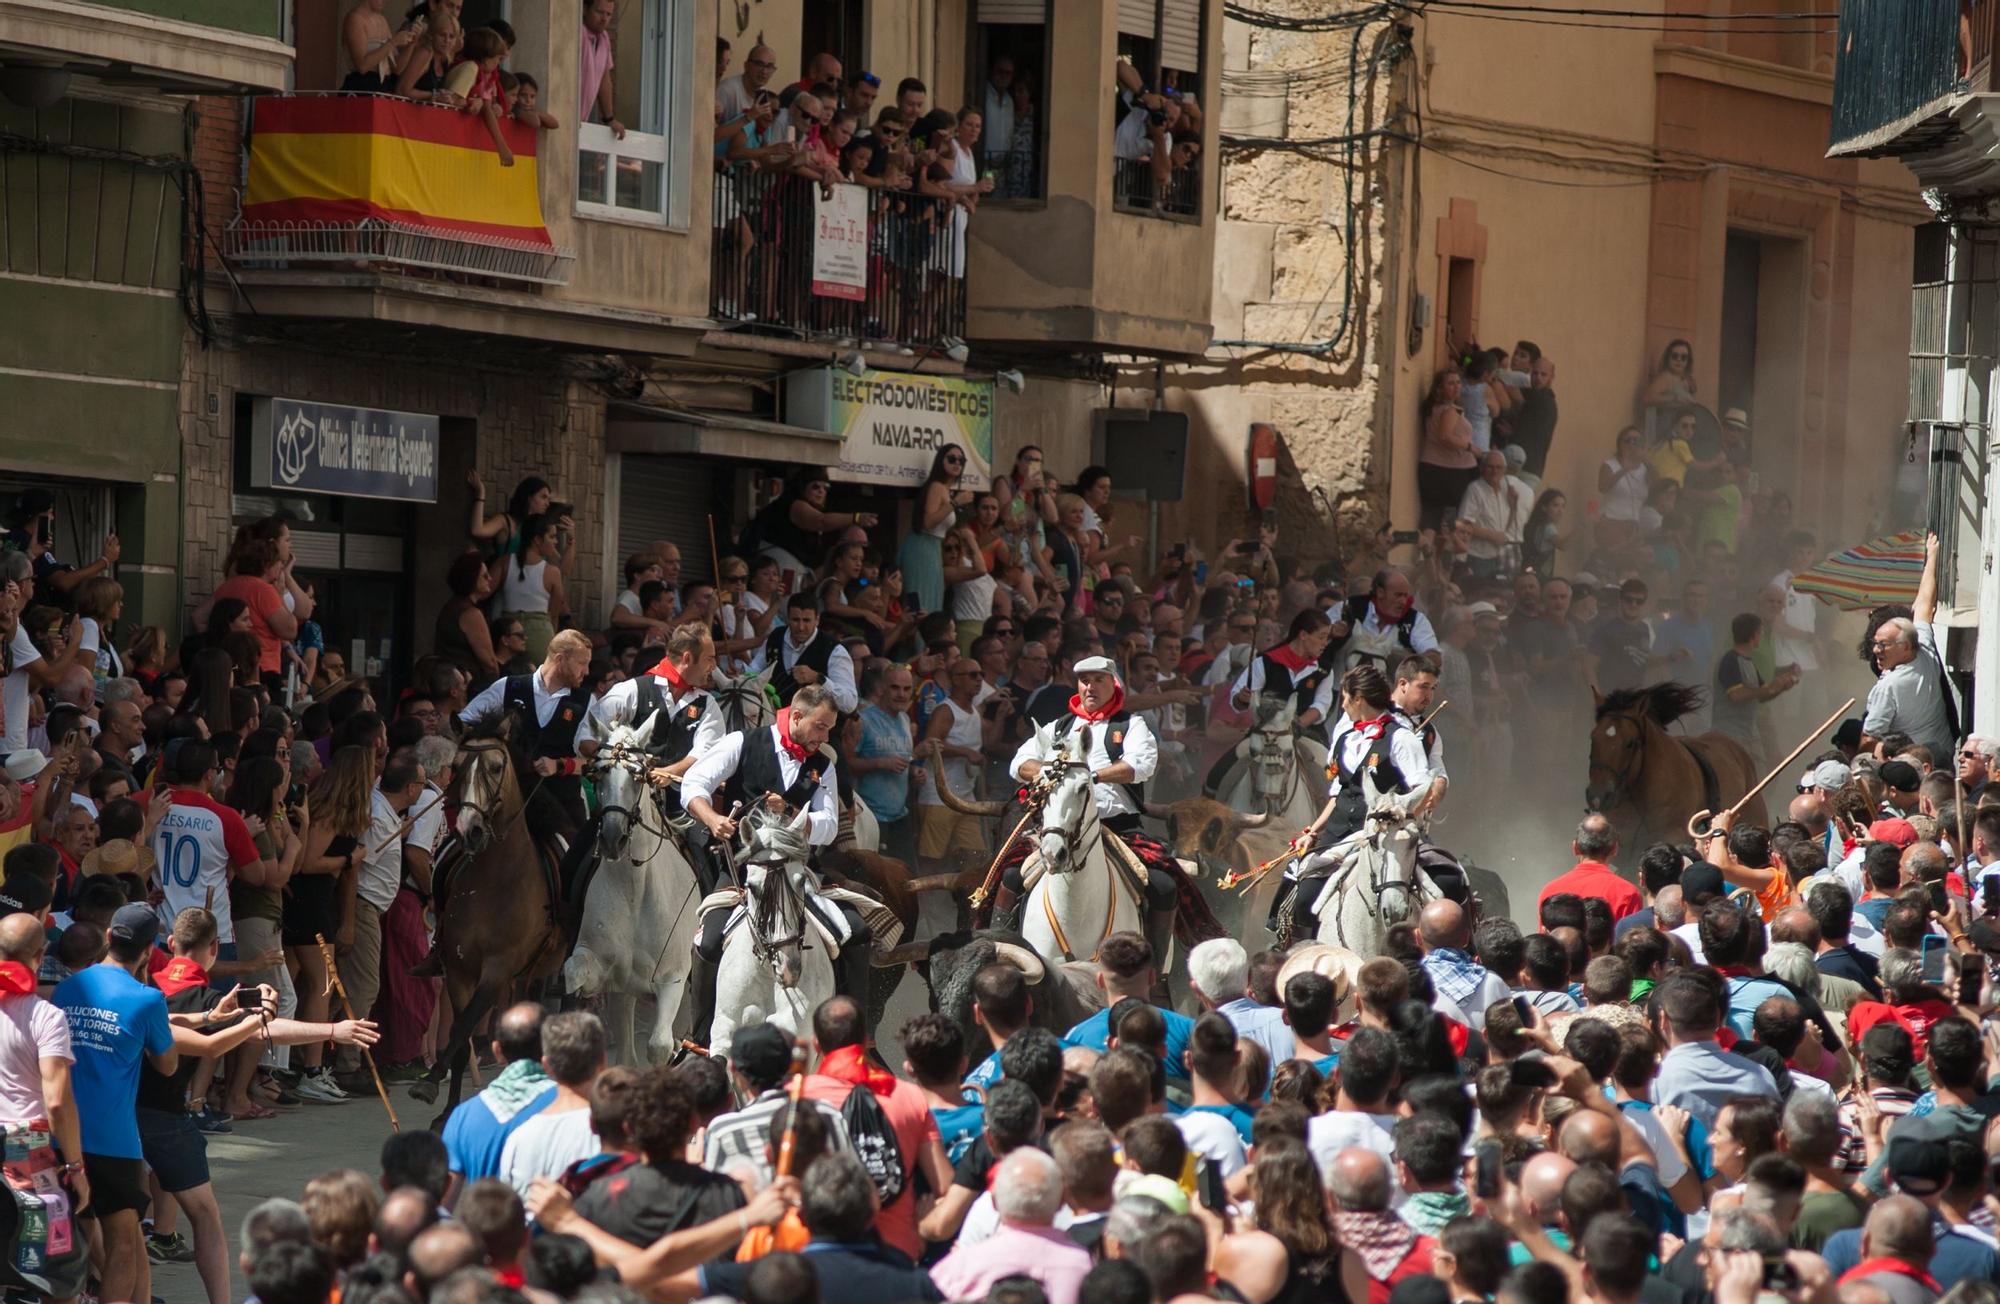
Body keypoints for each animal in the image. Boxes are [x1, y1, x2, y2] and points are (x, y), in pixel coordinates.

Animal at [404, 724, 568, 1120]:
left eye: (495, 767)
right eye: (457, 767)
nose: (470, 830)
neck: (494, 879)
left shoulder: (496, 970)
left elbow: (463, 1025)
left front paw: (428, 1082)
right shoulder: (459, 969)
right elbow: (461, 1038)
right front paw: (445, 1108)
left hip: (537, 970)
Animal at [568, 720, 708, 1064]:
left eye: (637, 775)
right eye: (599, 773)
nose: (612, 839)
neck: (634, 891)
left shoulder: (672, 979)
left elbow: (659, 1046)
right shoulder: (607, 972)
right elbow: (574, 972)